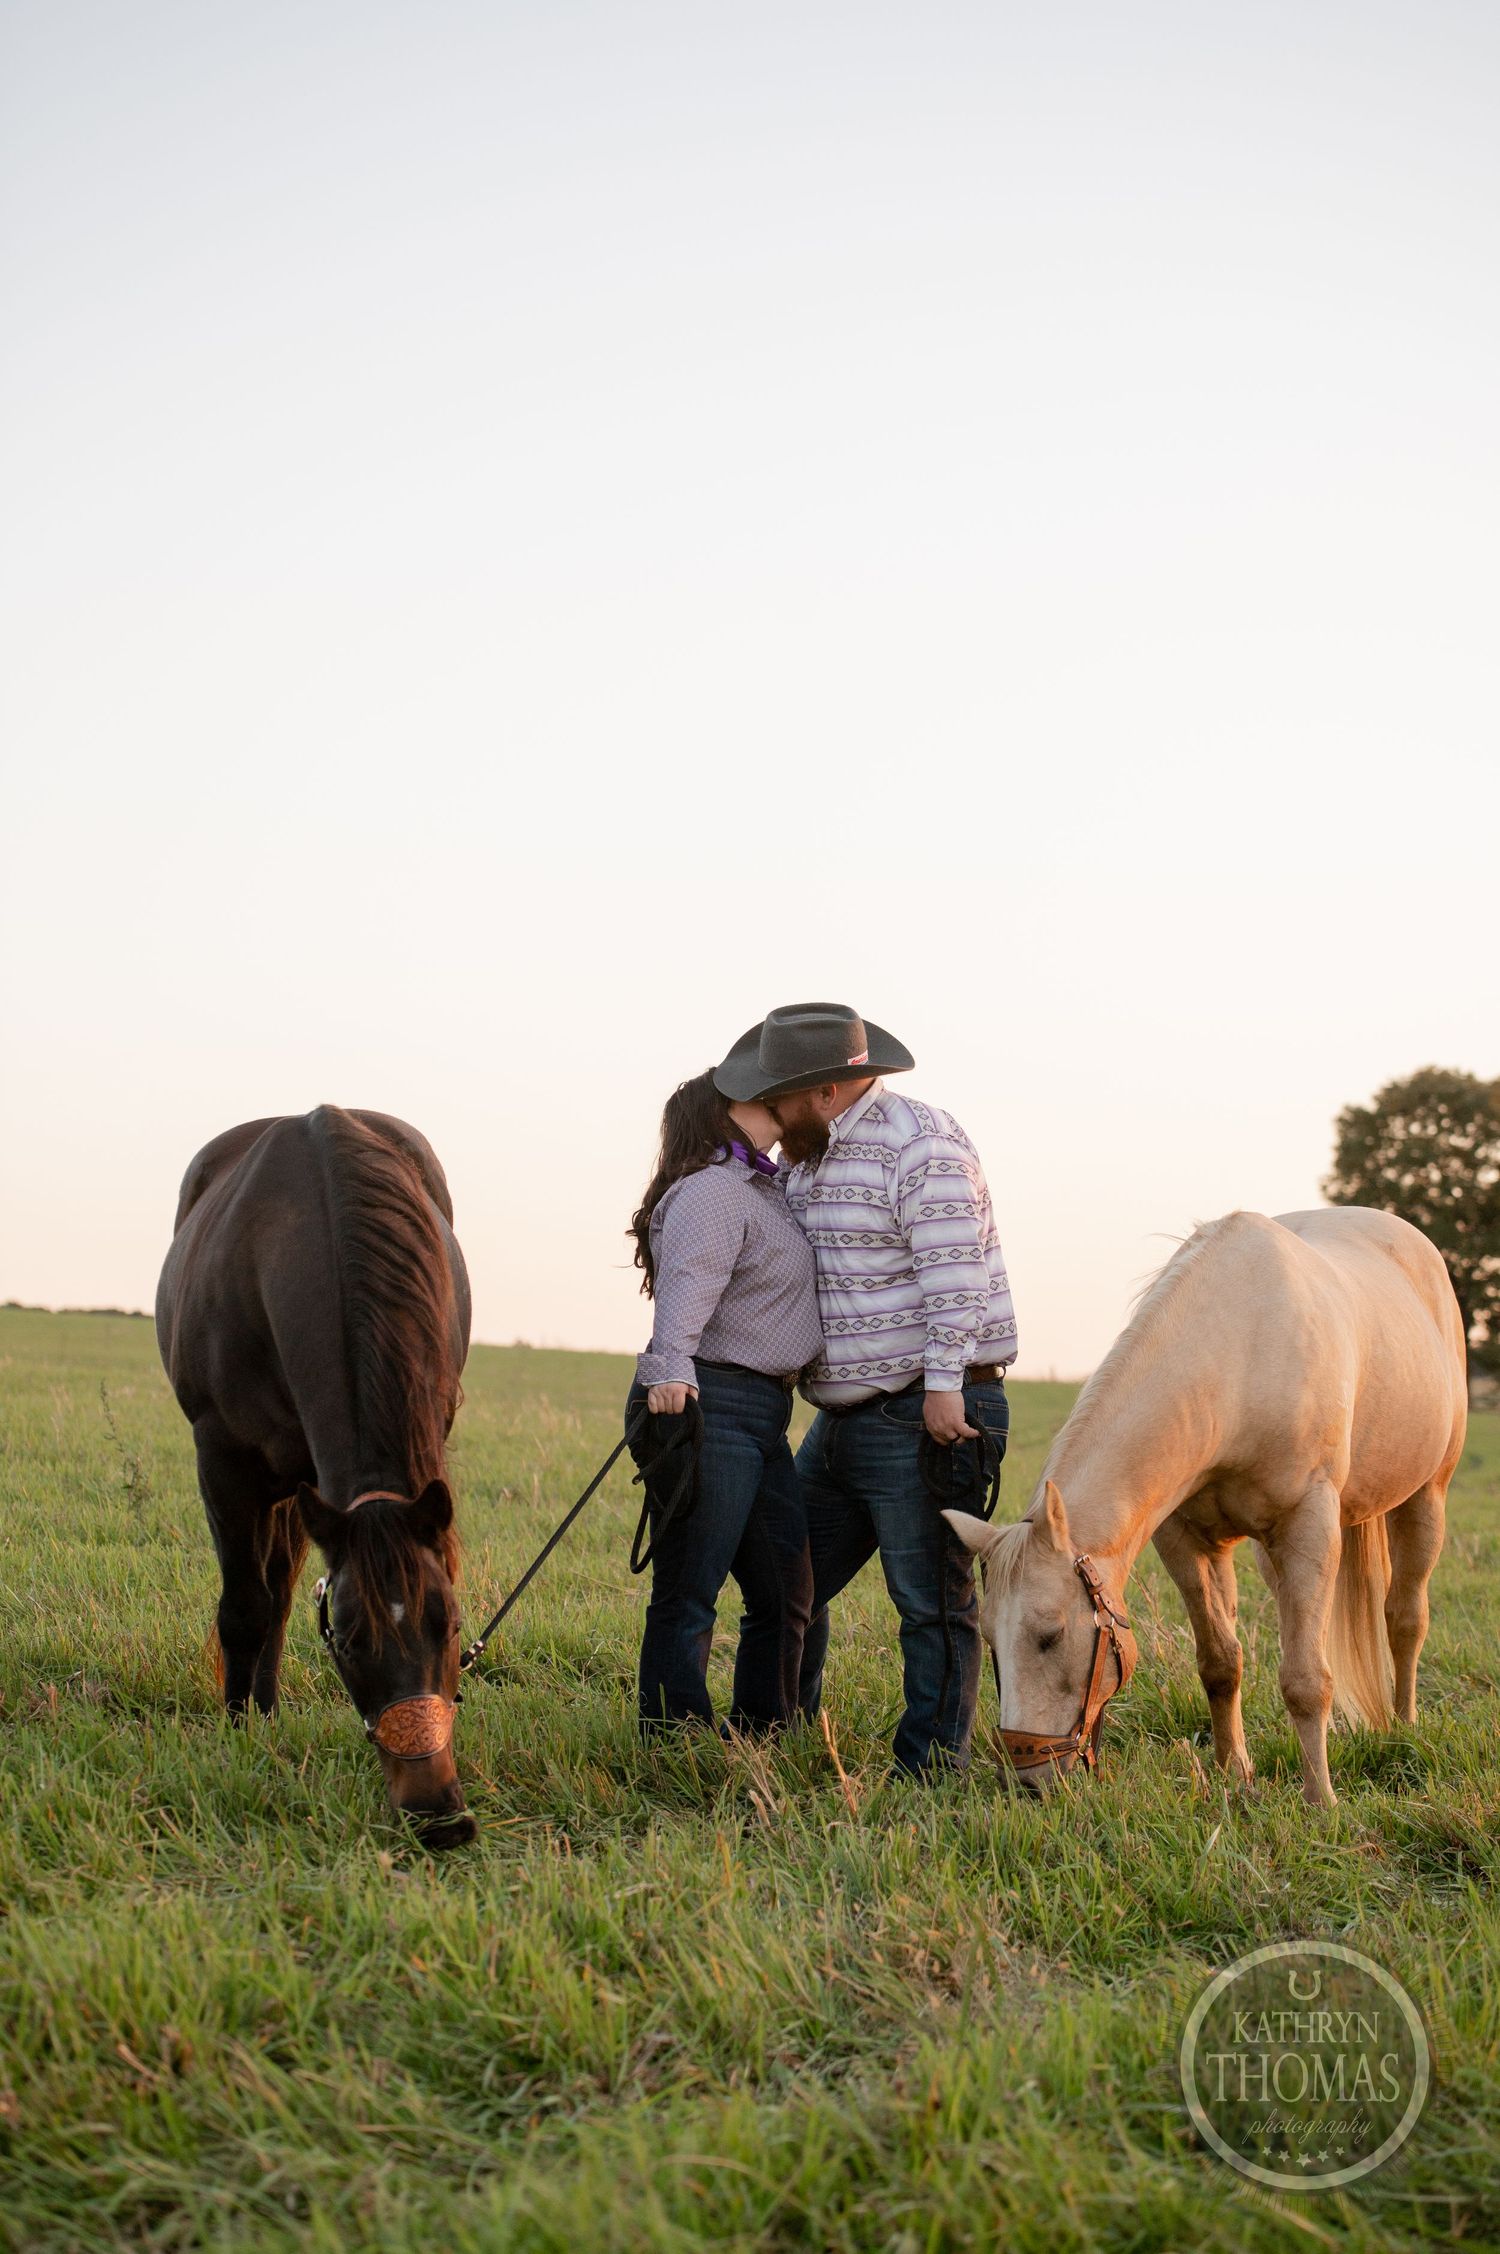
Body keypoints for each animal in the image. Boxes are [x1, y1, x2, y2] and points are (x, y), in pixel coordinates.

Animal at [155, 1106, 476, 1848]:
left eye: (449, 1626)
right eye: (352, 1642)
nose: (438, 1816)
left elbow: (276, 1597)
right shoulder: (222, 1462)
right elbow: (244, 1608)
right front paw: (238, 1734)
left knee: (281, 1586)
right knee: (265, 1595)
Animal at [945, 1207, 1467, 1806]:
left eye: (1049, 1636)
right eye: (988, 1638)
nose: (1028, 1781)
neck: (1240, 1357)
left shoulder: (1308, 1526)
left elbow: (1306, 1680)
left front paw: (1320, 1801)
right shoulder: (1186, 1540)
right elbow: (1220, 1662)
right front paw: (1233, 1772)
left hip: (1426, 1500)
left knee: (1404, 1618)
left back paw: (1404, 1726)